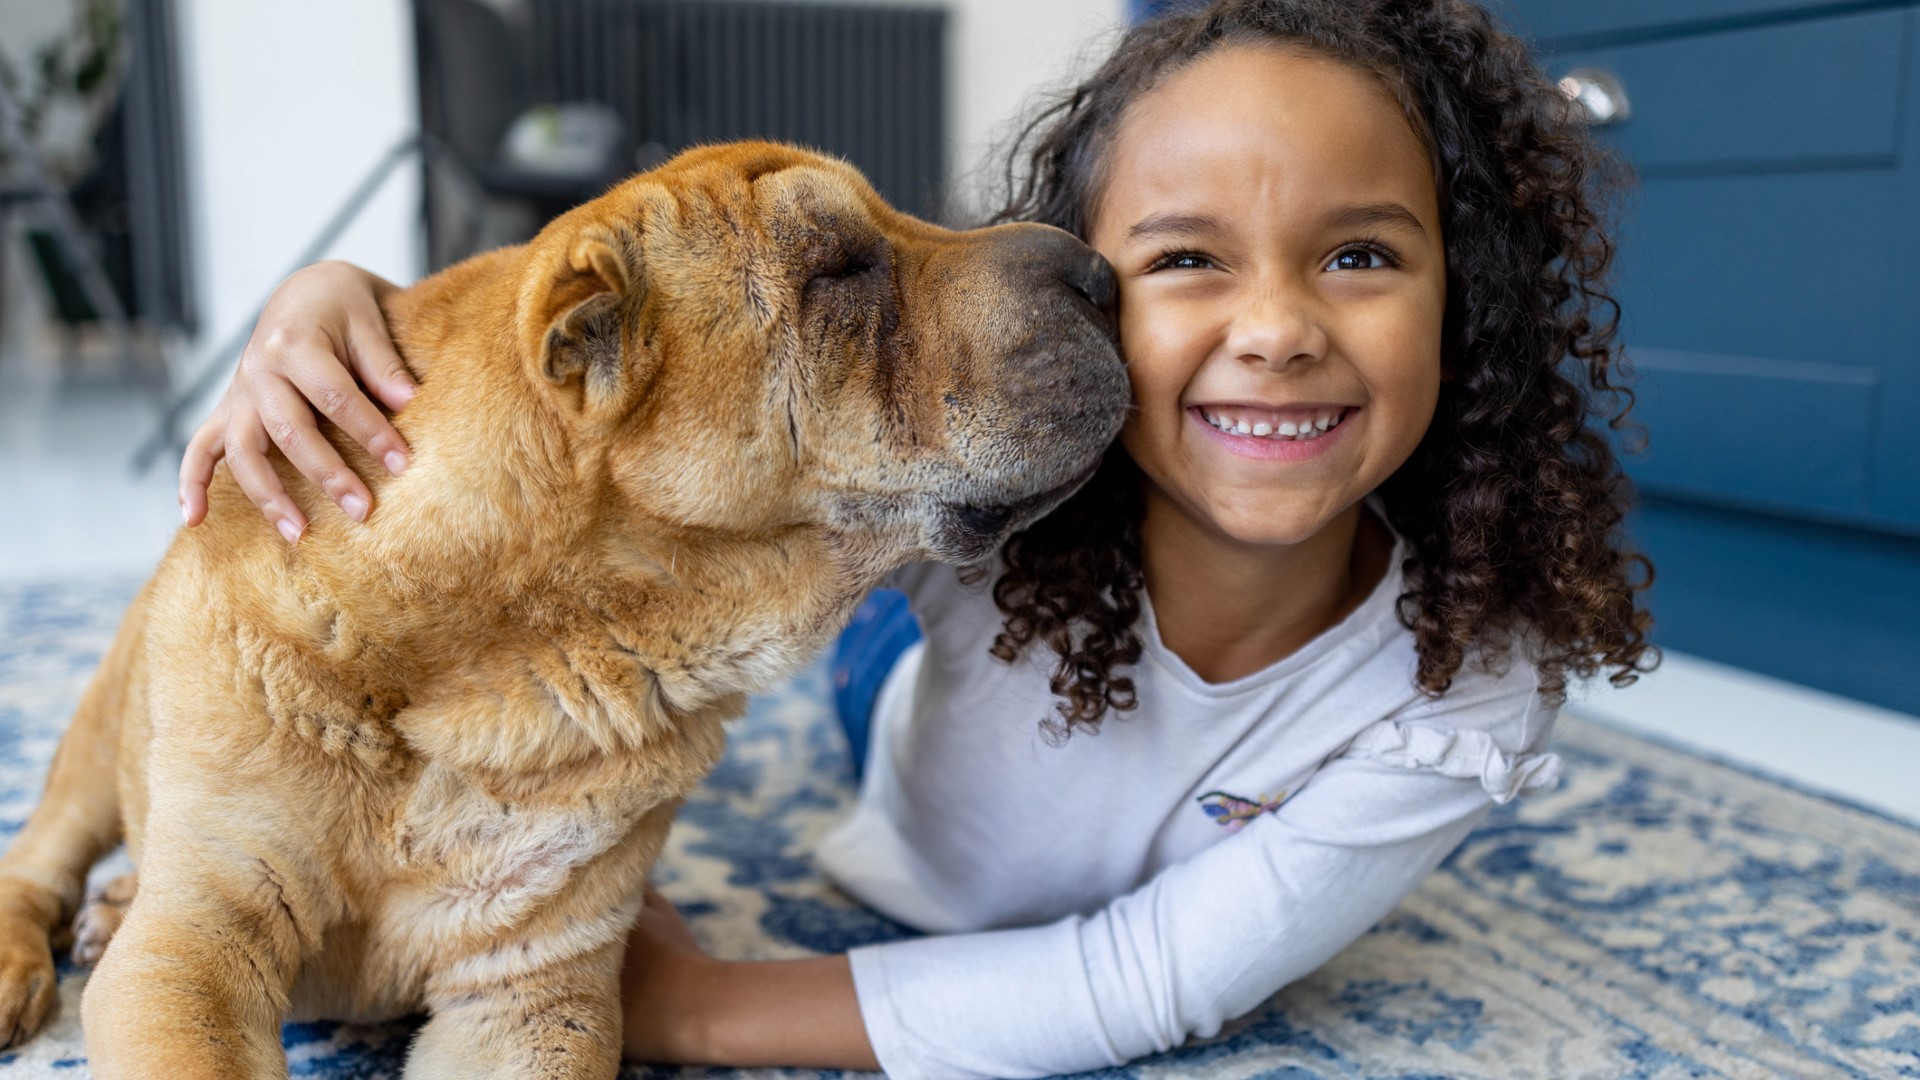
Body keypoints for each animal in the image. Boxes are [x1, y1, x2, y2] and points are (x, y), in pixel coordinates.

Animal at [0, 141, 1121, 1068]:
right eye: (839, 267)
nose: (1101, 275)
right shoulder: (189, 962)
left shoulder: (538, 991)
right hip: (100, 727)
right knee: (43, 853)